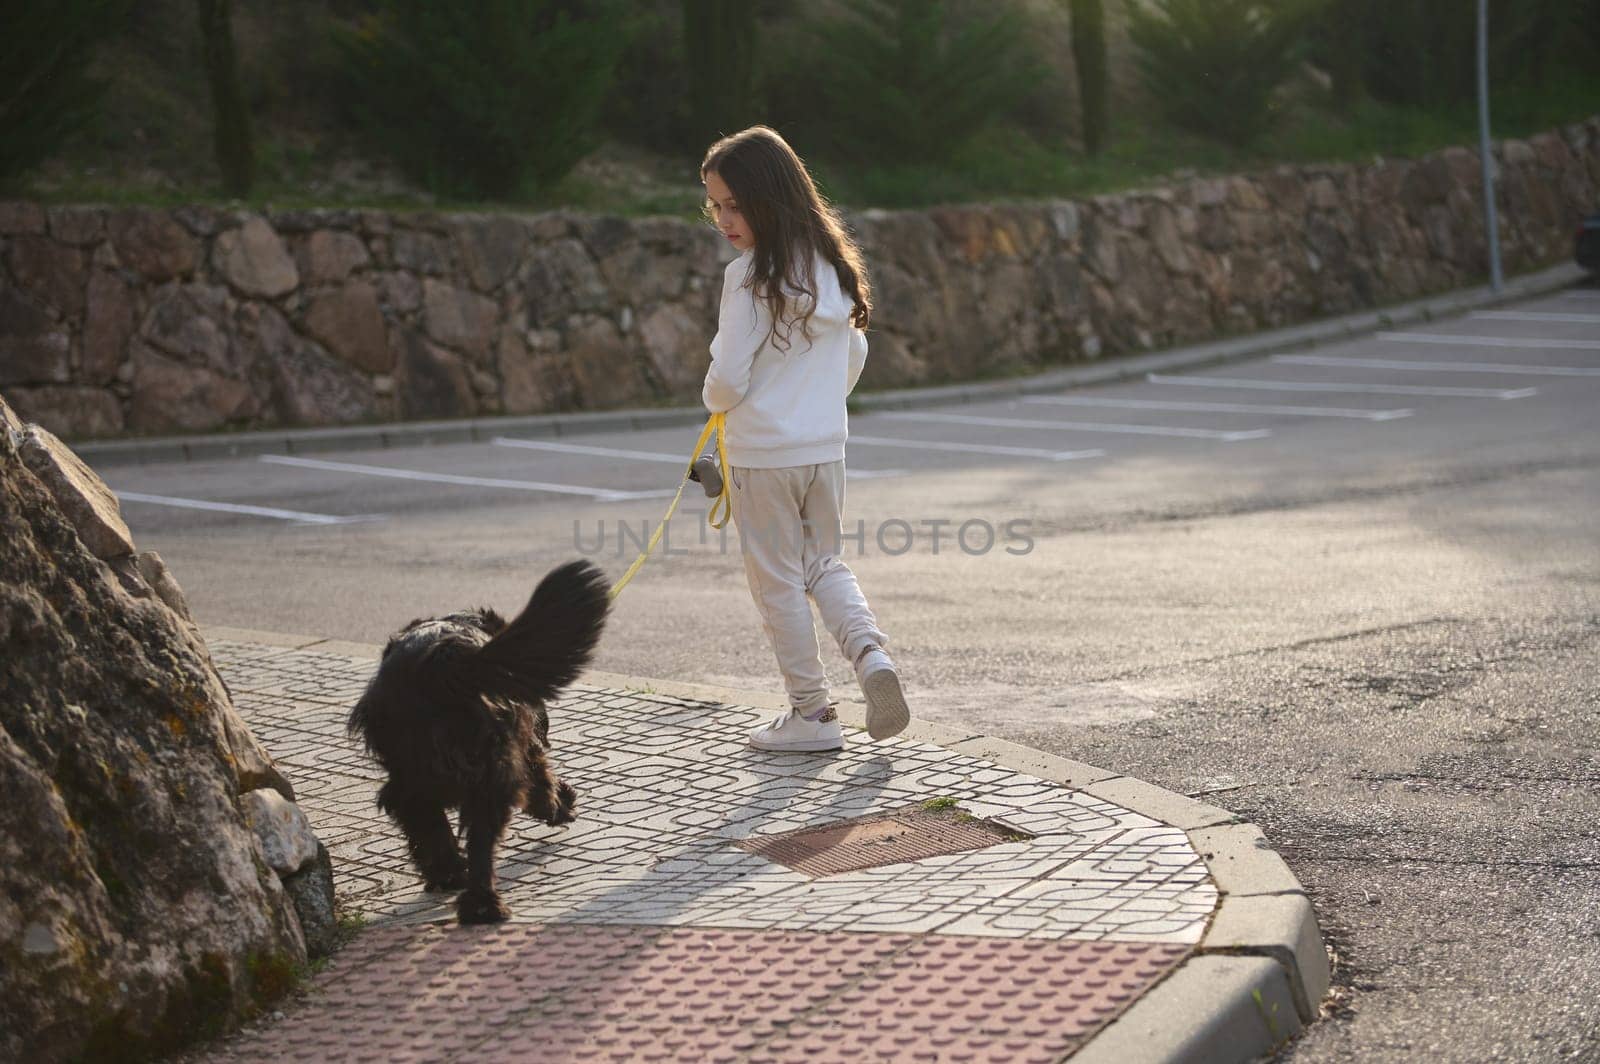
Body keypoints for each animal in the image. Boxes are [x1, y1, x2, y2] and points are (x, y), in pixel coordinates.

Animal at [347, 556, 608, 921]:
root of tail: (444, 661)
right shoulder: (526, 744)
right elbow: (542, 780)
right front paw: (560, 805)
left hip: (416, 777)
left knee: (429, 825)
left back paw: (453, 877)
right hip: (492, 771)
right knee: (480, 841)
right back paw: (481, 901)